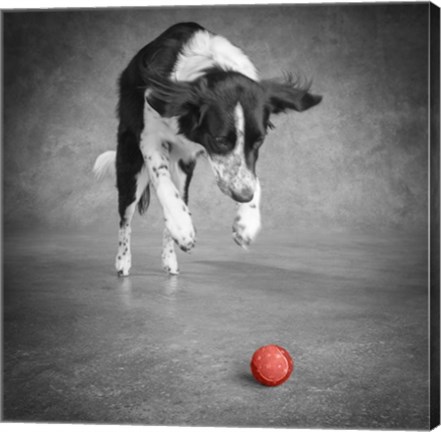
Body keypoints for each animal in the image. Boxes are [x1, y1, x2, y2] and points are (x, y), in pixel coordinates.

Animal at [93, 22, 322, 276]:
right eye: (220, 140)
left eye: (259, 141)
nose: (243, 196)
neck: (212, 65)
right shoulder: (150, 137)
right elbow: (163, 183)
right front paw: (183, 227)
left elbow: (253, 177)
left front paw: (247, 221)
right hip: (130, 161)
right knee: (126, 216)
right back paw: (123, 261)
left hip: (182, 169)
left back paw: (170, 259)